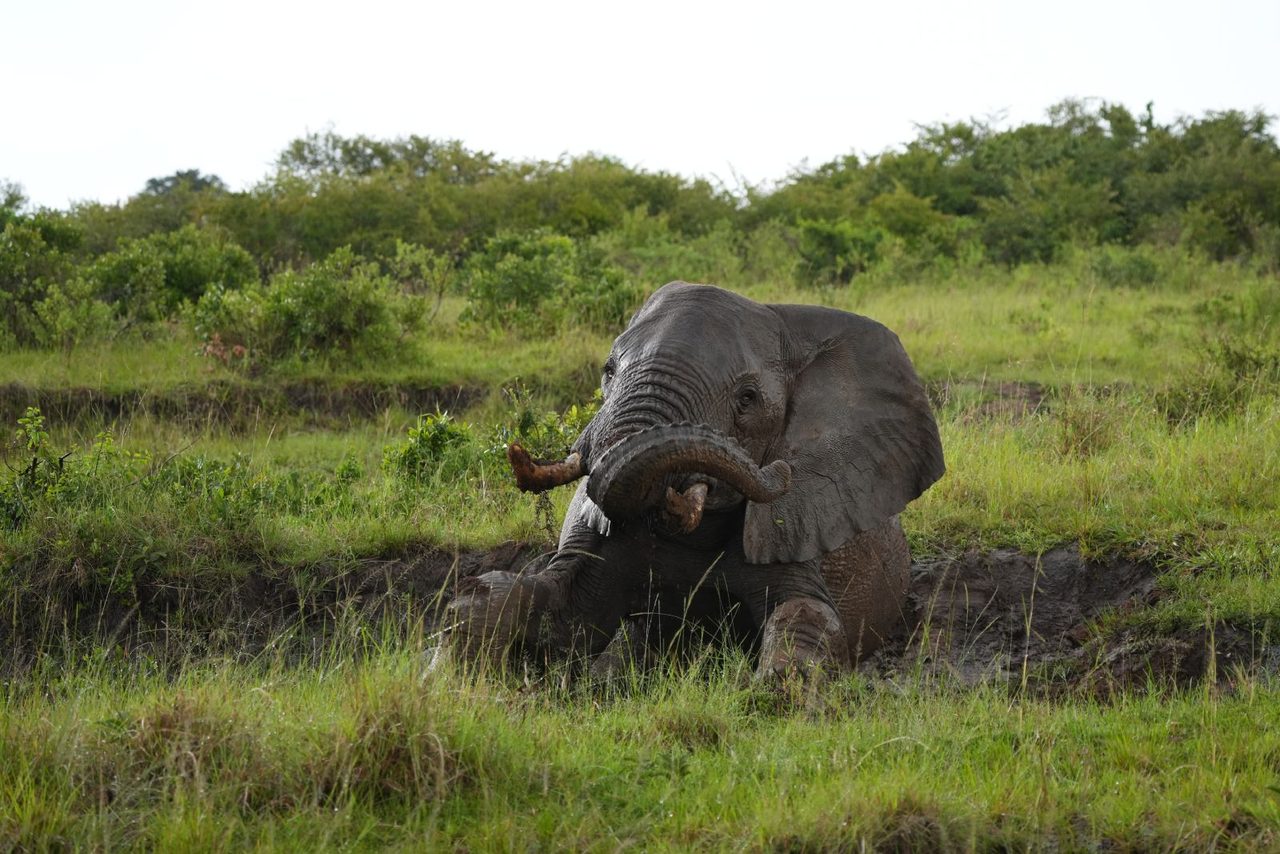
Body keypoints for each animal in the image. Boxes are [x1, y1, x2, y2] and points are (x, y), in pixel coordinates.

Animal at [446, 281, 944, 683]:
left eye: (748, 399)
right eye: (608, 370)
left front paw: (771, 692)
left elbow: (809, 614)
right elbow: (561, 619)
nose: (779, 472)